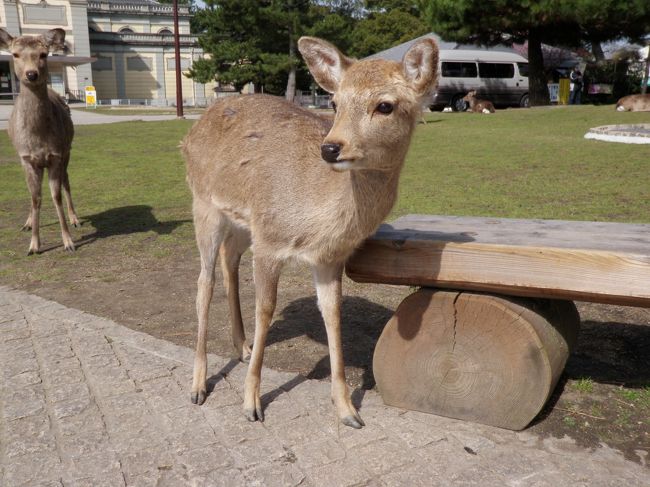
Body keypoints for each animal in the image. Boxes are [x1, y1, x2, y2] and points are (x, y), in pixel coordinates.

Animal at [0, 28, 79, 255]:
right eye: (15, 54)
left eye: (44, 54)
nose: (31, 74)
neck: (38, 137)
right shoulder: (26, 158)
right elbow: (35, 197)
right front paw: (34, 245)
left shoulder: (56, 155)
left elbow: (56, 195)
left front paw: (68, 241)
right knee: (36, 193)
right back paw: (27, 223)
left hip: (67, 151)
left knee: (66, 181)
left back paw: (74, 218)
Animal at [181, 36, 439, 429]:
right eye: (334, 102)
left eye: (385, 105)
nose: (330, 148)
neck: (313, 223)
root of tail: (193, 129)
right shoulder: (269, 240)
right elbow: (266, 310)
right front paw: (251, 404)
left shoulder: (329, 258)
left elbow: (333, 314)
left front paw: (348, 410)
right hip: (204, 203)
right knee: (203, 281)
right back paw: (198, 386)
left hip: (241, 222)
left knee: (229, 262)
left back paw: (242, 347)